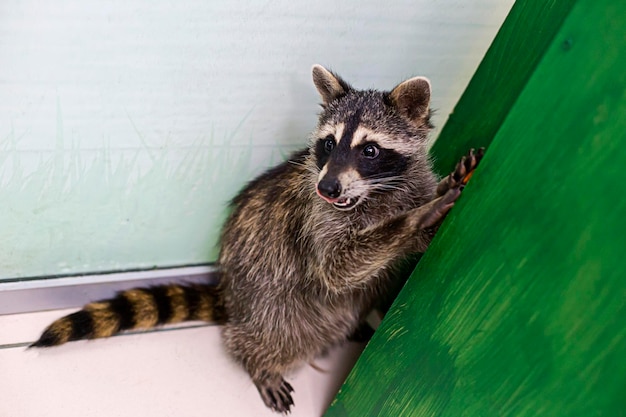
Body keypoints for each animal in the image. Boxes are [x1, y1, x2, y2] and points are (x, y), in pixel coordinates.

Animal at [31, 65, 482, 412]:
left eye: (369, 150)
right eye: (329, 143)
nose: (328, 188)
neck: (372, 193)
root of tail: (230, 297)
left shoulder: (400, 183)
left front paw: (435, 199)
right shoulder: (315, 220)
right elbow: (338, 267)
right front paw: (412, 222)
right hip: (268, 302)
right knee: (278, 330)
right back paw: (260, 361)